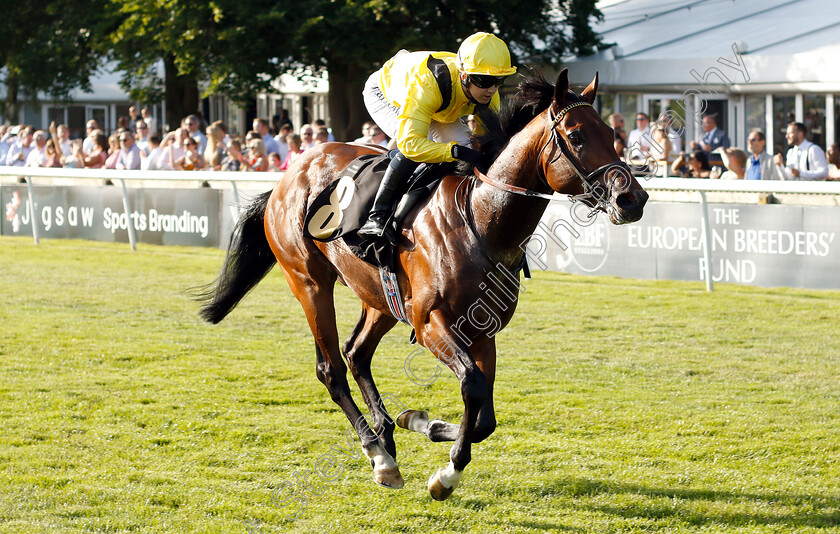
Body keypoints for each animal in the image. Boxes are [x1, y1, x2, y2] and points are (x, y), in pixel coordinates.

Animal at [199, 70, 648, 502]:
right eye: (576, 135)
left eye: (611, 132)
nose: (632, 199)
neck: (480, 218)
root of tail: (288, 175)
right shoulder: (431, 322)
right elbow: (472, 386)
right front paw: (446, 476)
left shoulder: (483, 331)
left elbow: (484, 416)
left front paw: (421, 422)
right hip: (309, 282)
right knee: (331, 369)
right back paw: (378, 455)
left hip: (379, 296)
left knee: (357, 353)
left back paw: (386, 433)